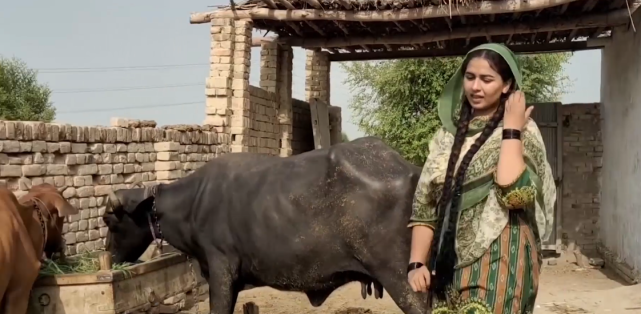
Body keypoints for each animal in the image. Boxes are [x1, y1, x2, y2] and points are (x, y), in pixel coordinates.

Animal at [102, 137, 428, 314]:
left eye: (110, 220)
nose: (110, 257)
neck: (193, 204)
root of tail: (410, 170)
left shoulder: (221, 271)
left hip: (404, 279)